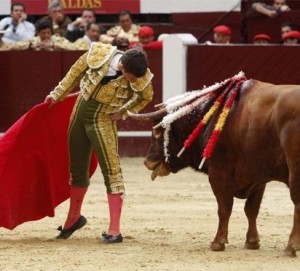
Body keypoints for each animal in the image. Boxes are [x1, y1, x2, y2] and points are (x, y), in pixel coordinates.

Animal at [130, 73, 300, 258]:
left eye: (157, 132)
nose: (147, 162)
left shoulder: (218, 172)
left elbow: (224, 208)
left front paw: (218, 242)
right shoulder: (258, 177)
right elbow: (251, 209)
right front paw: (252, 242)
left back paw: (291, 247)